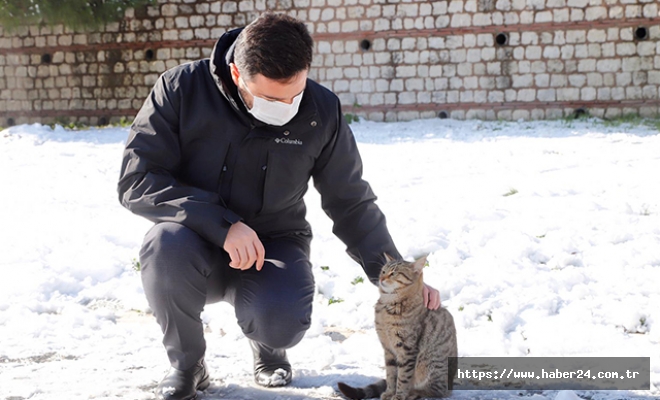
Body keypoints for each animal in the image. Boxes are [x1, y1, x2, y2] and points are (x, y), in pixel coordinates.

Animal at [338, 256, 456, 400]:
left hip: (433, 368)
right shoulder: (388, 348)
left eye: (393, 273)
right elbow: (391, 374)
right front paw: (389, 392)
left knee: (437, 391)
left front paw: (399, 395)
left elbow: (403, 377)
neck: (388, 305)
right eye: (383, 271)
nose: (381, 279)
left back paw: (414, 393)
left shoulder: (407, 349)